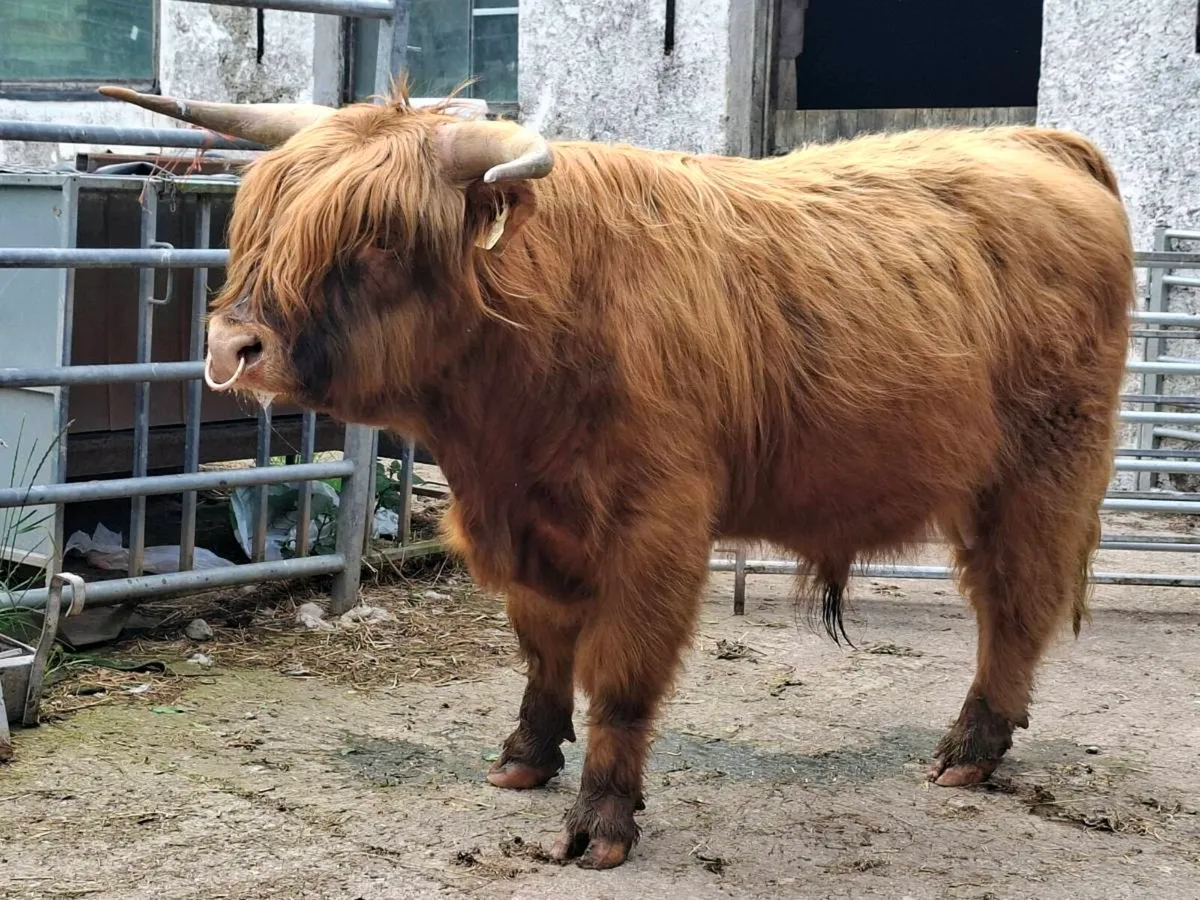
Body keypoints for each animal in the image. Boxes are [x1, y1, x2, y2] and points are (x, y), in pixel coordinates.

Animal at [101, 84, 1134, 870]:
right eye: (261, 219)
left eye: (380, 239)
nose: (232, 347)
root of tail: (1035, 140)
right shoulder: (522, 524)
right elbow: (544, 651)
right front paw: (524, 756)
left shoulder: (654, 531)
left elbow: (621, 674)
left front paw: (599, 819)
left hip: (1040, 476)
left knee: (1014, 608)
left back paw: (970, 750)